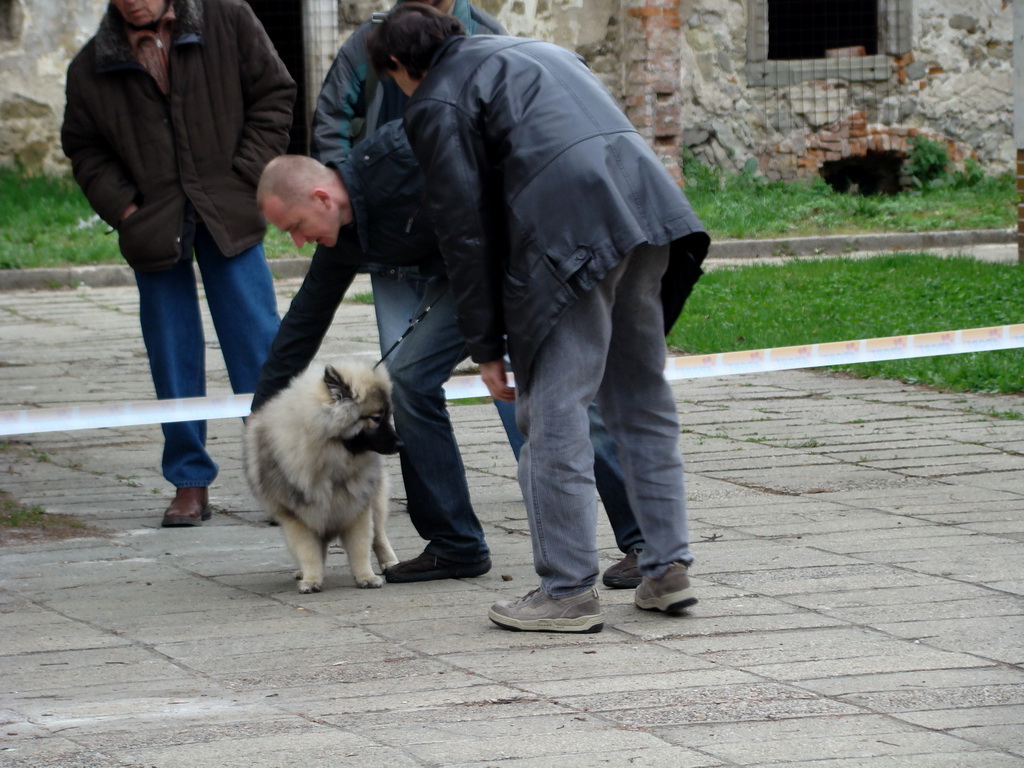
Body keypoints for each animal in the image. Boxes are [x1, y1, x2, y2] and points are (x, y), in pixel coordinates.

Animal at [245, 362, 401, 593]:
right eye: (376, 418)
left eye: (389, 416)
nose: (400, 444)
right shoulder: (299, 516)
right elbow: (309, 551)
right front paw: (311, 579)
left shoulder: (356, 508)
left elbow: (361, 547)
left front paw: (366, 577)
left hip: (374, 503)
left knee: (379, 536)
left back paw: (390, 563)